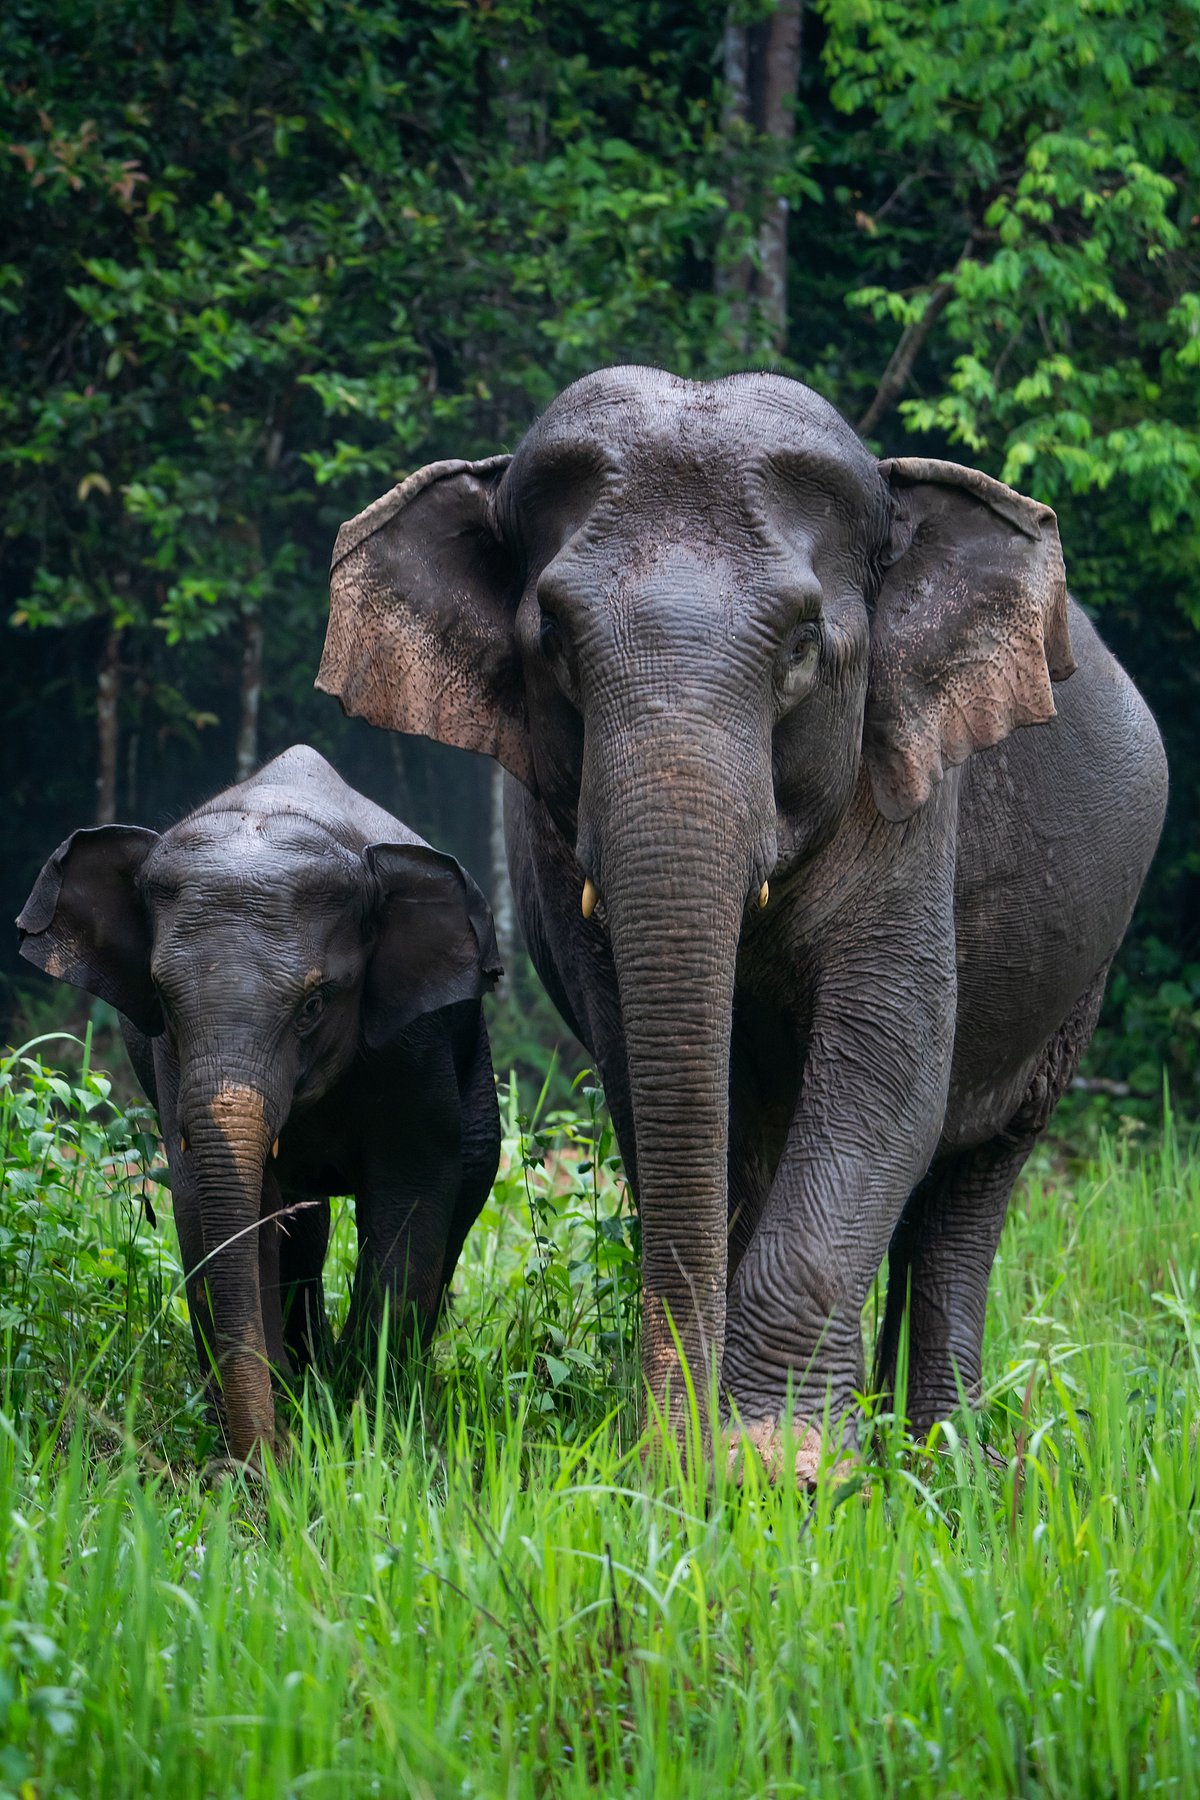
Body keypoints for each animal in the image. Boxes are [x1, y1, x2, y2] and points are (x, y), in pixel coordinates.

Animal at [17, 745, 501, 1466]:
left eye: (313, 1004)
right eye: (163, 999)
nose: (253, 1468)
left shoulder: (413, 1043)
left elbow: (412, 1191)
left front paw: (368, 1424)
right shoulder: (169, 1063)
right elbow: (207, 1207)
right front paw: (286, 1426)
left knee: (467, 1178)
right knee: (304, 1223)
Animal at [317, 366, 1167, 1474]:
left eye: (804, 646)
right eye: (553, 645)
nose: (666, 1449)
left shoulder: (909, 798)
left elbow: (888, 1067)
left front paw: (781, 1466)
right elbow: (651, 1075)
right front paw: (710, 1456)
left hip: (1078, 985)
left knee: (971, 1180)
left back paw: (941, 1466)